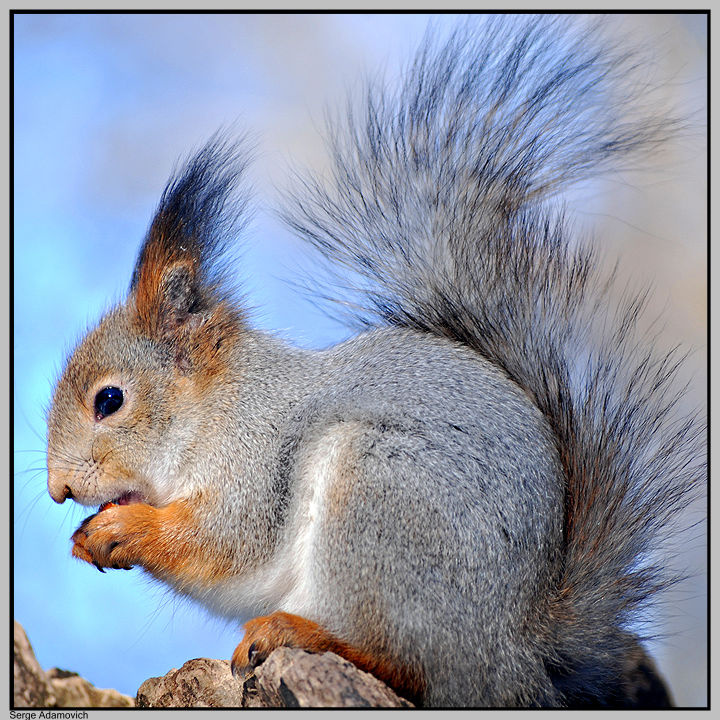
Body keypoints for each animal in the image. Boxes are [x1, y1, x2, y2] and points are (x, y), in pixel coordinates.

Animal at [46, 15, 703, 708]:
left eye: (109, 400)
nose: (59, 489)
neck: (215, 410)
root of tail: (511, 655)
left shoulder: (256, 463)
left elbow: (222, 543)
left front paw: (123, 530)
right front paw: (88, 535)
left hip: (379, 499)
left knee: (405, 662)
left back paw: (299, 633)